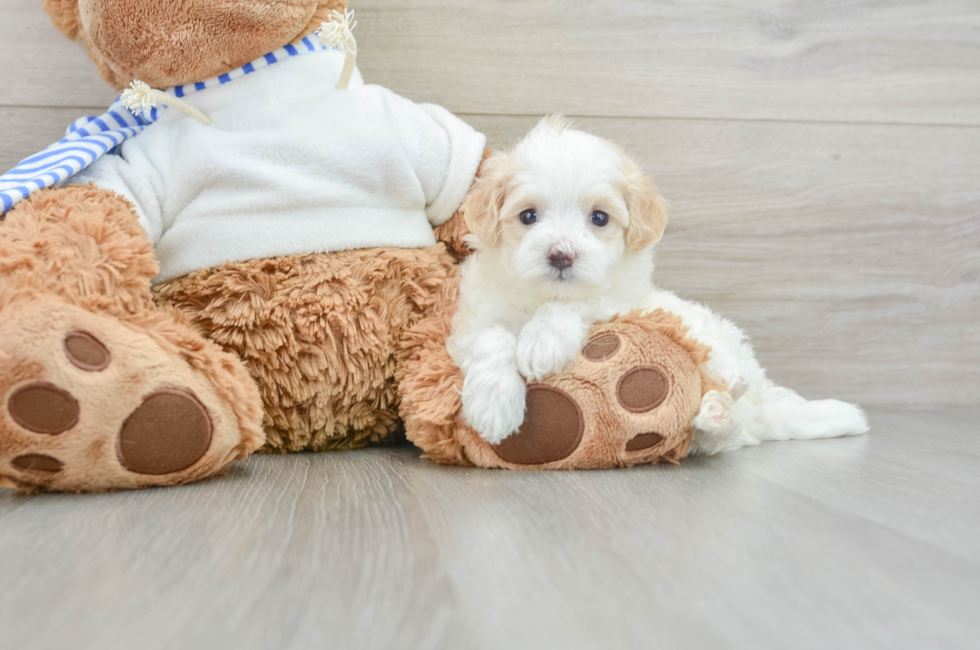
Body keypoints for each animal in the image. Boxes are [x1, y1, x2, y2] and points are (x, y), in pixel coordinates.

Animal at [448, 116, 868, 450]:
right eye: (528, 215)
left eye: (599, 218)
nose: (561, 255)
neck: (540, 295)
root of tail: (766, 409)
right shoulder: (473, 317)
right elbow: (491, 337)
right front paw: (493, 404)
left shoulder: (618, 301)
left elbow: (575, 304)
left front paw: (541, 341)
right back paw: (716, 409)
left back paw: (727, 387)